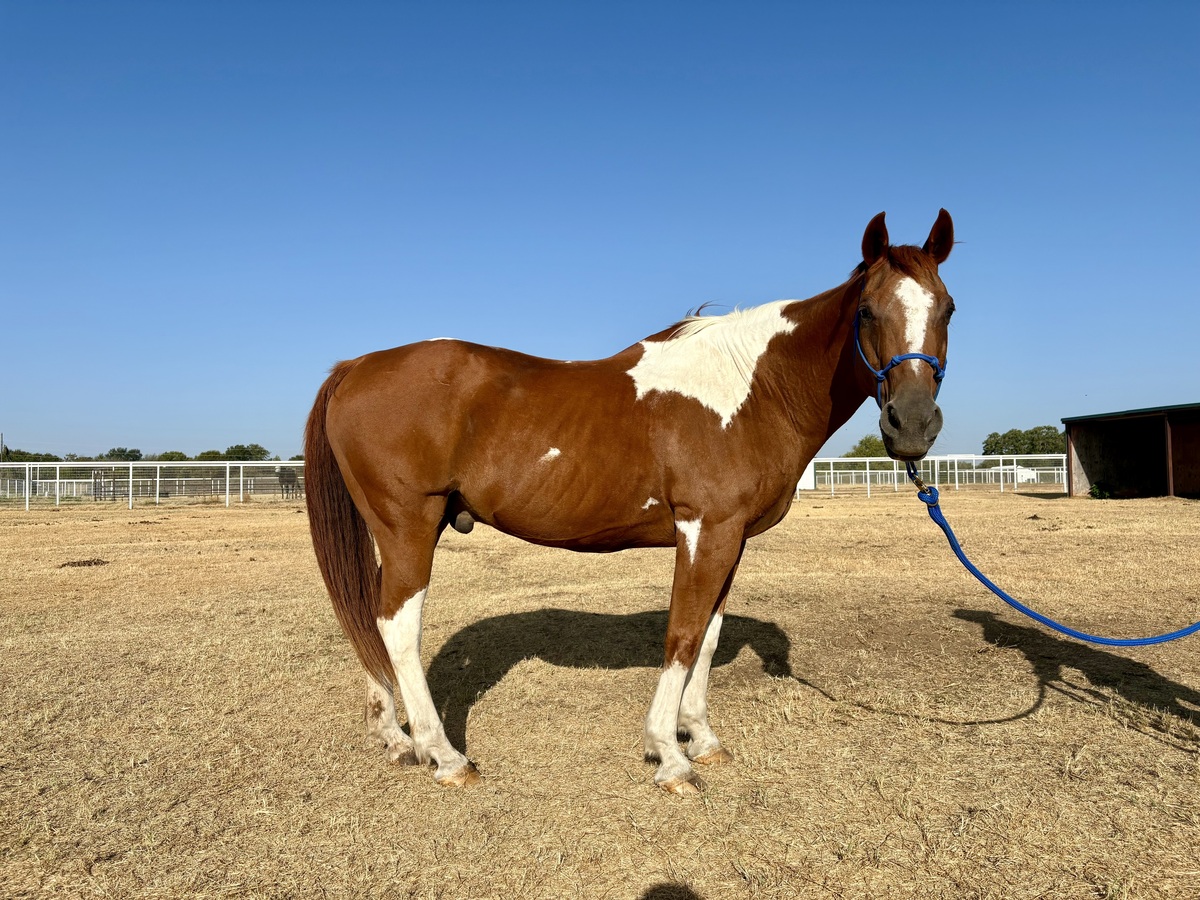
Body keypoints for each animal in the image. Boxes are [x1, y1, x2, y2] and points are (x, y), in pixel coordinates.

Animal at [304, 210, 956, 794]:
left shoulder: (731, 539)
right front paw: (670, 755)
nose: (912, 424)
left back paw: (396, 739)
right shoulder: (704, 530)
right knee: (397, 627)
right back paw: (444, 755)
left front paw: (703, 738)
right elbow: (683, 636)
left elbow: (708, 637)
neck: (752, 390)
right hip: (409, 527)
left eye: (947, 308)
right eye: (867, 310)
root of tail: (356, 367)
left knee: (369, 619)